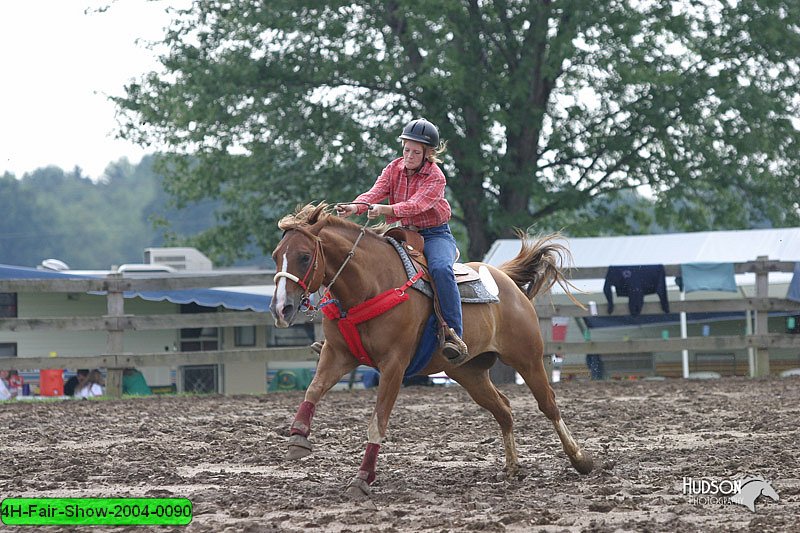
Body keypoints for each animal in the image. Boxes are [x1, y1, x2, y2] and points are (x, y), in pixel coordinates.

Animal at [272, 203, 592, 494]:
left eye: (304, 256)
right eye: (276, 256)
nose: (280, 308)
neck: (371, 284)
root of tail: (506, 281)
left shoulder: (394, 365)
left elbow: (378, 422)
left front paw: (362, 479)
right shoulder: (337, 355)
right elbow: (313, 390)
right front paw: (298, 438)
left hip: (528, 358)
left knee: (548, 404)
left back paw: (581, 460)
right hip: (469, 373)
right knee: (503, 410)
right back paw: (513, 468)